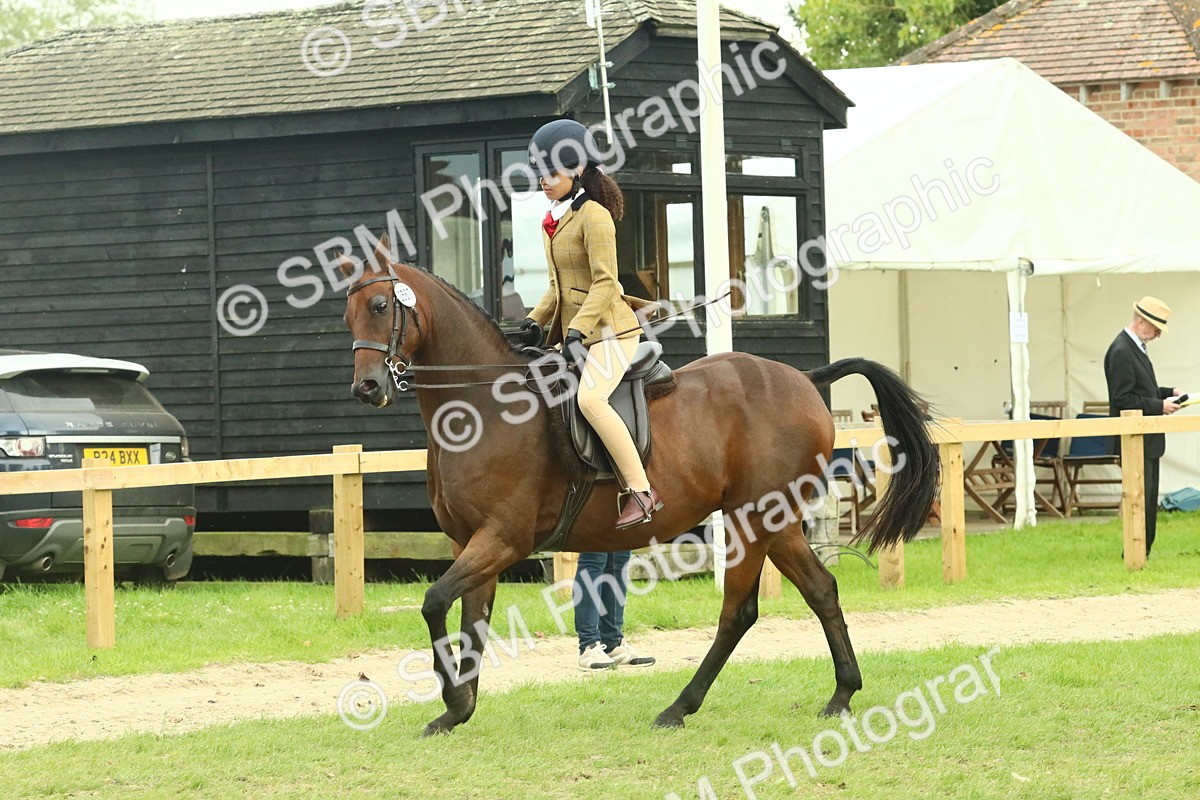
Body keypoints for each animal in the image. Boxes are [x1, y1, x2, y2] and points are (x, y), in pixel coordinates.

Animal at [338, 248, 938, 737]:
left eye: (381, 307)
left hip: (749, 520)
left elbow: (435, 602)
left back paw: (679, 707)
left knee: (738, 612)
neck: (482, 405)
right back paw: (841, 695)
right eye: (347, 314)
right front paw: (457, 709)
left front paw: (452, 700)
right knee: (821, 591)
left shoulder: (503, 539)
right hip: (777, 522)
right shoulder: (471, 543)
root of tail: (805, 381)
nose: (366, 387)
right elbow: (470, 624)